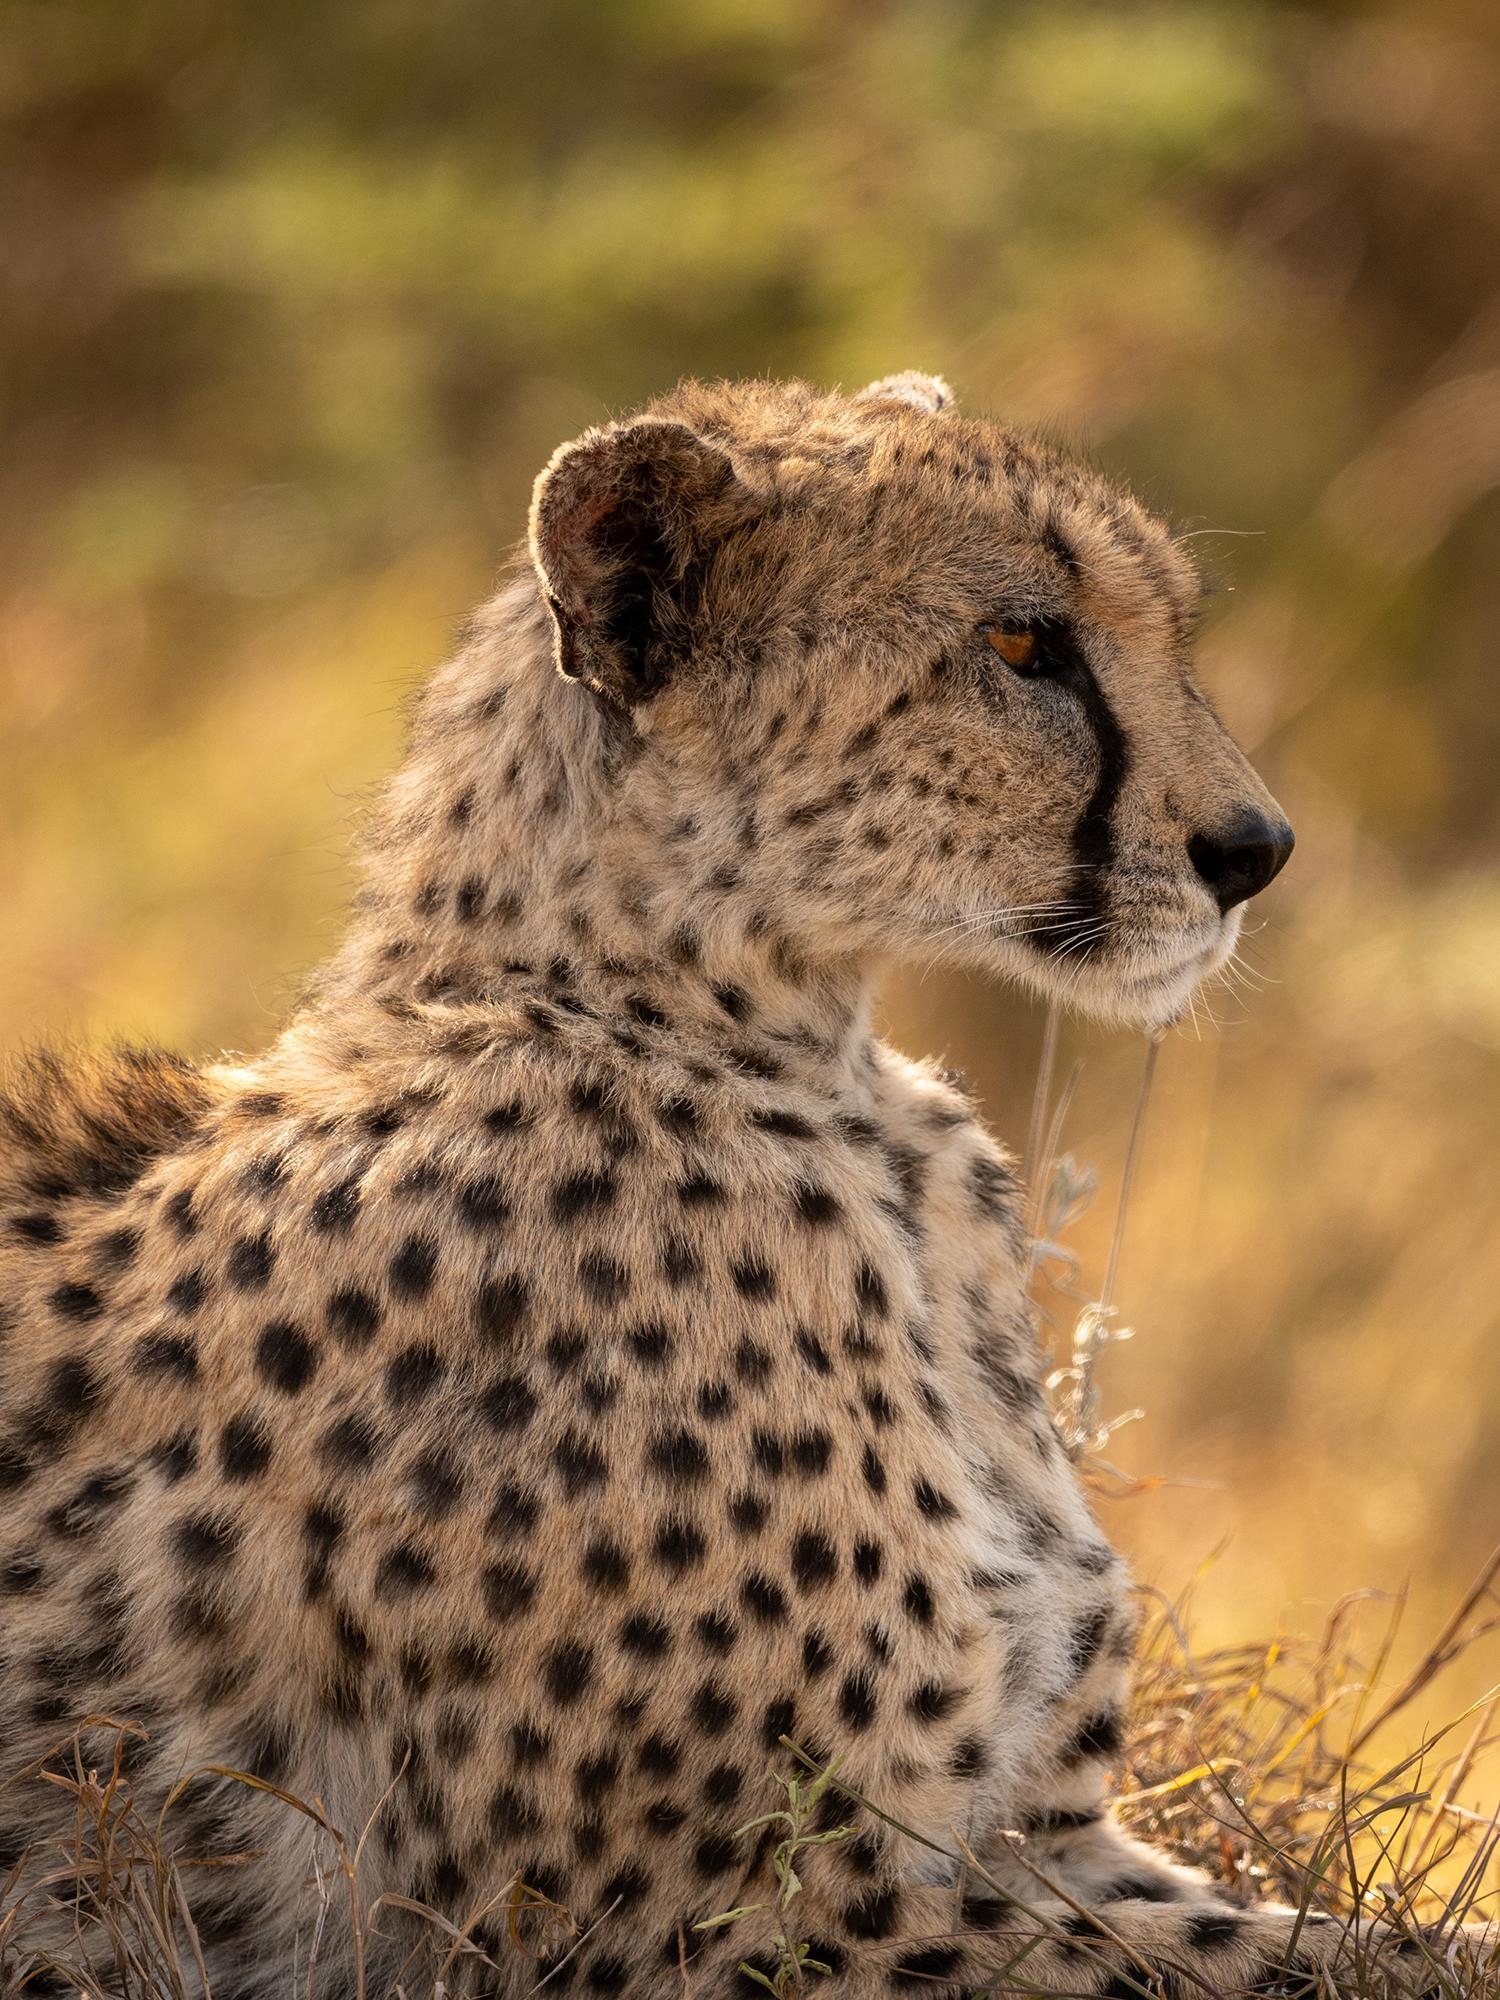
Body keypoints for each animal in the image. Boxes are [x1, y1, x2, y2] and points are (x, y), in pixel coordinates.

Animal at [0, 370, 1480, 1999]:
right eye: (1023, 642)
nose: (1255, 850)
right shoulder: (742, 1920)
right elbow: (1367, 1963)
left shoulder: (1046, 1835)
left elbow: (1378, 1935)